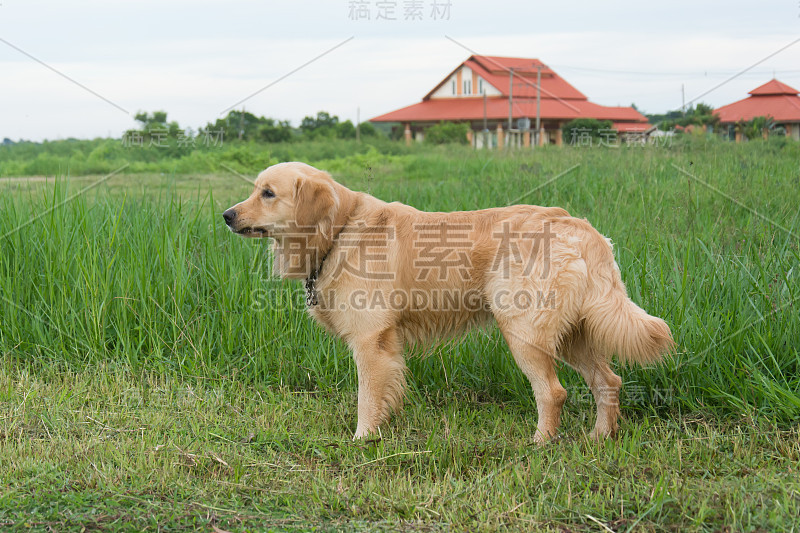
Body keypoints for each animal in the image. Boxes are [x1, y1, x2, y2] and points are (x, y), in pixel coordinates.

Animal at [223, 161, 676, 440]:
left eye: (268, 193)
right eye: (254, 190)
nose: (226, 215)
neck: (338, 231)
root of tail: (578, 226)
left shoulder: (370, 342)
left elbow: (367, 398)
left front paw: (362, 439)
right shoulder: (387, 345)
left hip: (524, 332)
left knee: (553, 392)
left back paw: (540, 444)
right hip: (572, 335)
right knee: (608, 381)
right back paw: (600, 437)